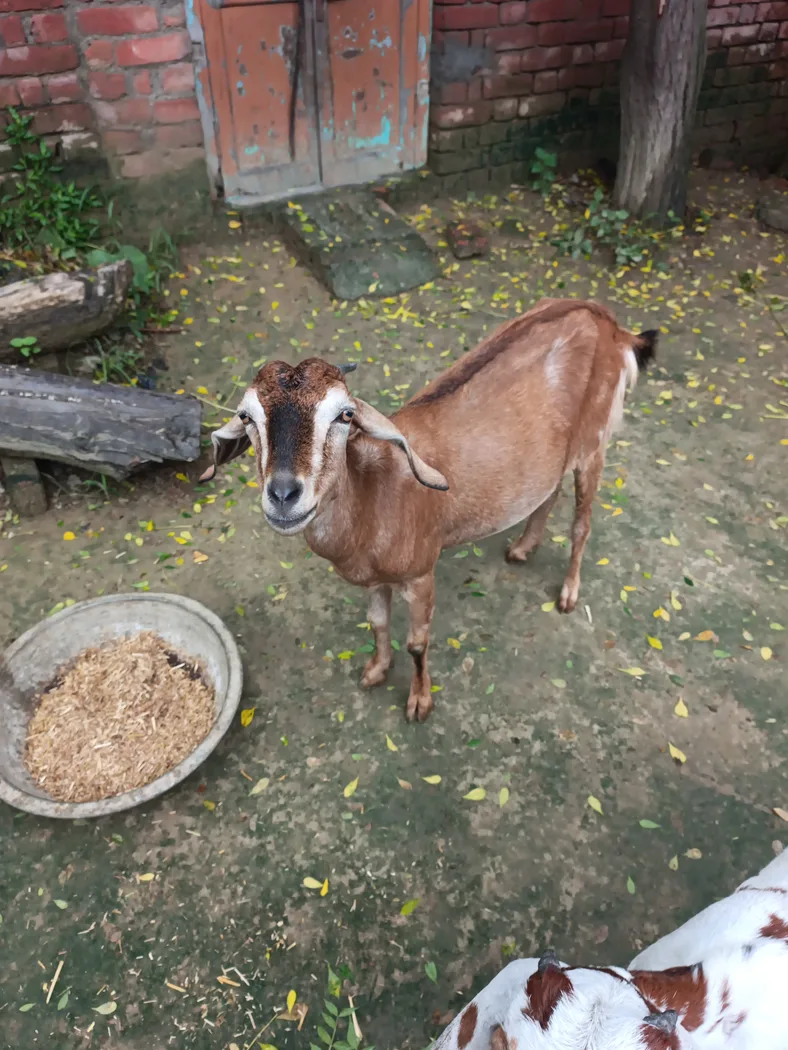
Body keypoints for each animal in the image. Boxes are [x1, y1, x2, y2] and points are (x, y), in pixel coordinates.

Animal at [201, 298, 656, 722]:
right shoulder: (375, 579)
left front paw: (420, 701)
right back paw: (522, 548)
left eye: (345, 415)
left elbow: (417, 642)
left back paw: (567, 594)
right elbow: (378, 623)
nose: (283, 494)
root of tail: (606, 320)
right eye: (246, 417)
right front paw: (376, 670)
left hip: (593, 443)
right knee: (549, 491)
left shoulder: (421, 573)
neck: (372, 497)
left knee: (583, 521)